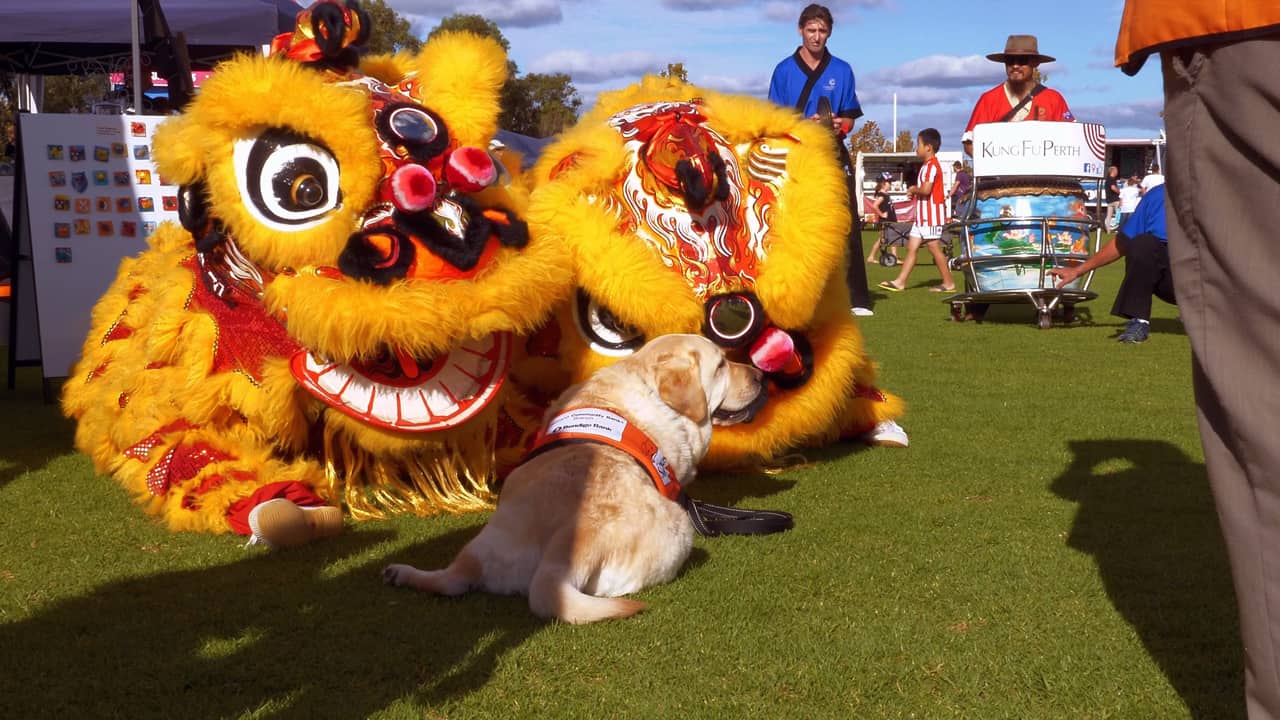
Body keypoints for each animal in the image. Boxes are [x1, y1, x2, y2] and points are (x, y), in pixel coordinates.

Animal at [378, 333, 757, 620]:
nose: (759, 375)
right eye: (721, 365)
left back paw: (405, 574)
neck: (644, 380)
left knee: (452, 581)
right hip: (680, 529)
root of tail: (561, 557)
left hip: (483, 545)